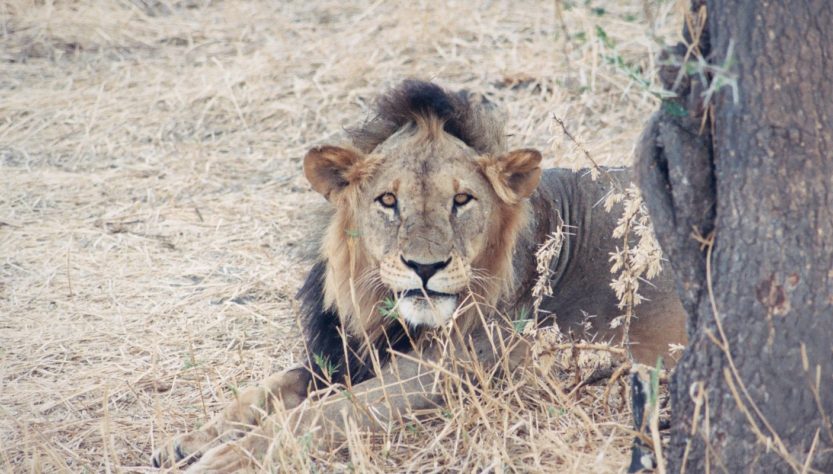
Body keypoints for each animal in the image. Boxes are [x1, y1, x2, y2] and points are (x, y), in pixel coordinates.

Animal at [150, 80, 684, 470]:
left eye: (462, 200)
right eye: (388, 200)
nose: (425, 267)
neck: (389, 317)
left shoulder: (443, 371)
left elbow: (319, 414)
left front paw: (222, 459)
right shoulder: (346, 353)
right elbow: (267, 390)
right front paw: (188, 442)